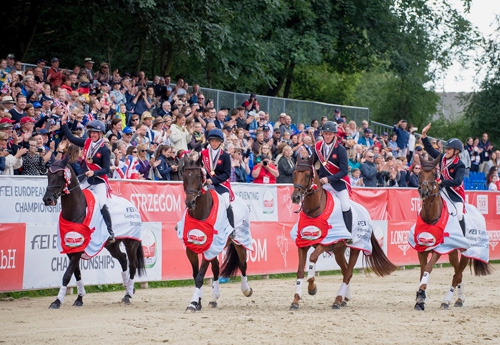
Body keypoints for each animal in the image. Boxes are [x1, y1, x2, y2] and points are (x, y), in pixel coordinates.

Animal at [42, 157, 146, 308]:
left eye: (61, 175)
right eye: (48, 175)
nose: (47, 199)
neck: (76, 211)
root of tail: (132, 206)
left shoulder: (78, 249)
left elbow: (67, 275)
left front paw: (57, 301)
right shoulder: (71, 249)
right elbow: (76, 274)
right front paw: (79, 298)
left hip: (131, 243)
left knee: (132, 264)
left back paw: (128, 295)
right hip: (111, 245)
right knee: (122, 258)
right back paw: (128, 288)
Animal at [178, 156, 252, 312]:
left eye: (199, 176)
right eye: (184, 176)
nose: (190, 202)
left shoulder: (209, 248)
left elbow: (200, 276)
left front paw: (192, 304)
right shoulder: (191, 250)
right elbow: (196, 275)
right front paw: (198, 302)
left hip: (239, 243)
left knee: (243, 264)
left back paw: (246, 290)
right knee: (216, 268)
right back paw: (213, 298)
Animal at [292, 156, 396, 310]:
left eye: (306, 175)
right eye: (294, 173)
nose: (296, 197)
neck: (315, 211)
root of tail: (365, 211)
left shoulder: (326, 243)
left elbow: (312, 259)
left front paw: (312, 288)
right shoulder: (302, 244)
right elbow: (299, 271)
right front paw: (295, 300)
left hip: (355, 248)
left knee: (348, 273)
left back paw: (337, 300)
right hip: (339, 251)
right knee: (345, 270)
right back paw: (344, 298)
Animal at [412, 153, 490, 310]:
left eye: (435, 174)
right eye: (420, 173)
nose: (424, 192)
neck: (431, 218)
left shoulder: (439, 249)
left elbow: (428, 268)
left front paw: (421, 295)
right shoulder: (421, 250)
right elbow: (422, 271)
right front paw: (420, 299)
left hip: (466, 251)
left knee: (457, 274)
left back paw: (446, 301)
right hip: (453, 252)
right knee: (458, 272)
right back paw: (459, 299)